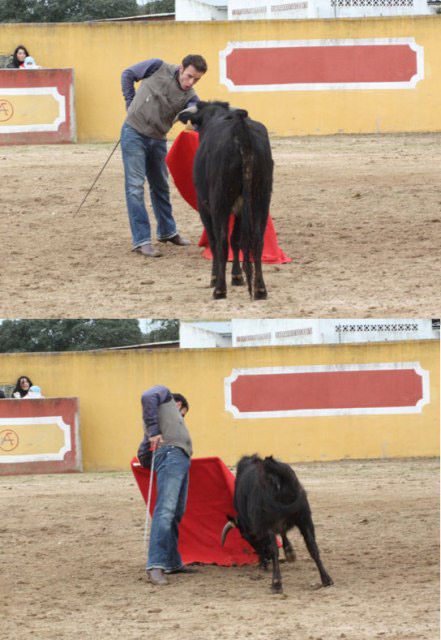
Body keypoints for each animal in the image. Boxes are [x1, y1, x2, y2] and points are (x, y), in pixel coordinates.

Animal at [178, 100, 274, 300]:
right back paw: (260, 289)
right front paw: (237, 276)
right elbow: (236, 239)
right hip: (261, 200)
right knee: (257, 240)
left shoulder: (204, 206)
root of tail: (241, 129)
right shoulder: (240, 210)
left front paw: (215, 277)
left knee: (221, 240)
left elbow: (216, 241)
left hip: (219, 201)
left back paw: (219, 289)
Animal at [222, 458, 332, 592]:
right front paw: (289, 552)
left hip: (270, 519)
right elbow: (283, 533)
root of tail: (274, 476)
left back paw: (276, 583)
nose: (264, 560)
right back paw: (326, 579)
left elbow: (275, 544)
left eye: (246, 536)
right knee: (312, 546)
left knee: (275, 550)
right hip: (304, 516)